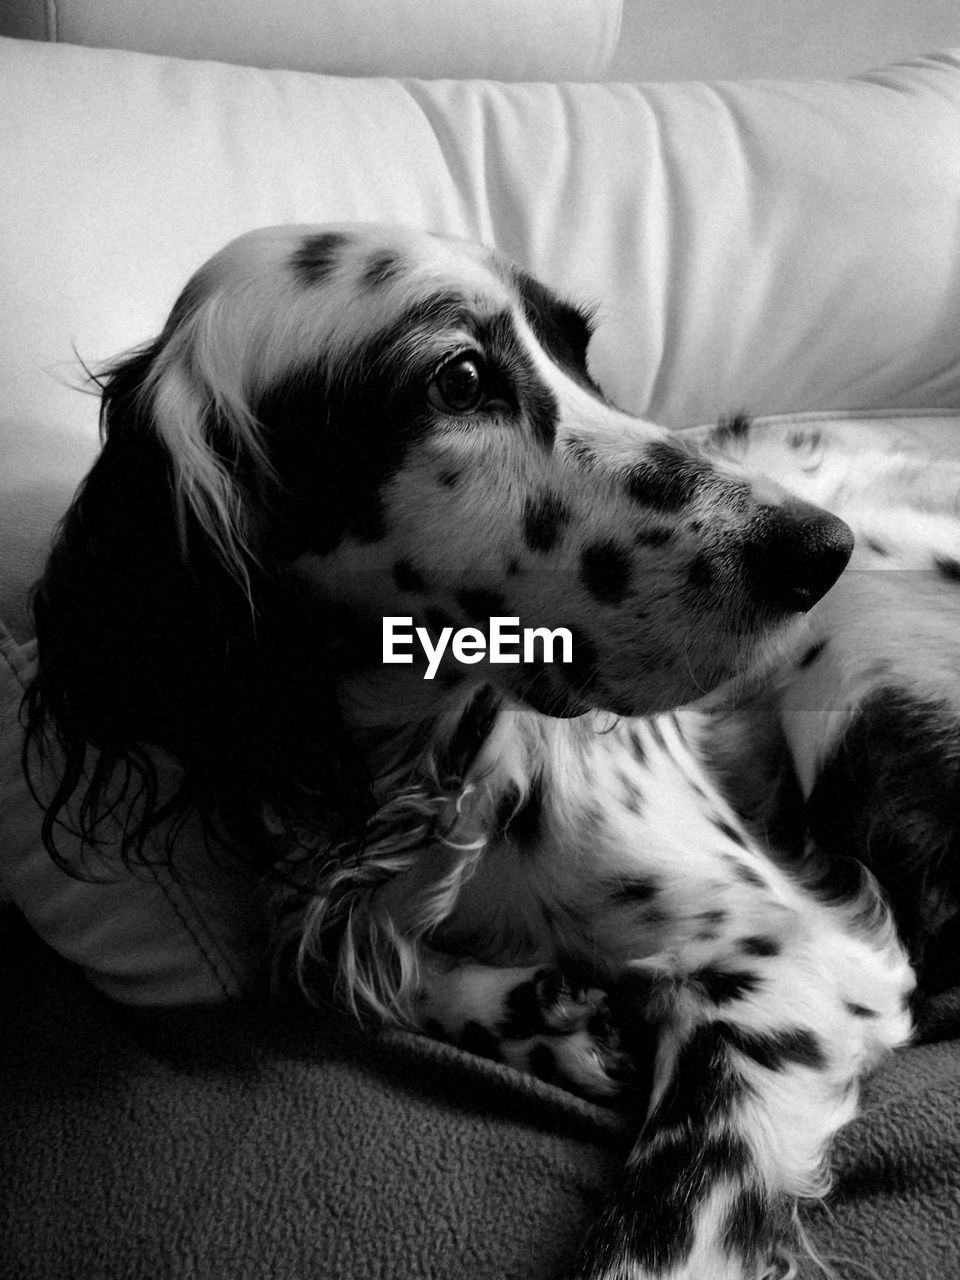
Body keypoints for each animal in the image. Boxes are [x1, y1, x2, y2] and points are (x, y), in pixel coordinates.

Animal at [24, 225, 960, 1274]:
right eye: (461, 380)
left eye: (580, 354)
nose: (817, 549)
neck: (416, 775)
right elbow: (333, 973)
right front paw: (552, 1015)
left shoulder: (799, 958)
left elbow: (661, 1233)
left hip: (851, 632)